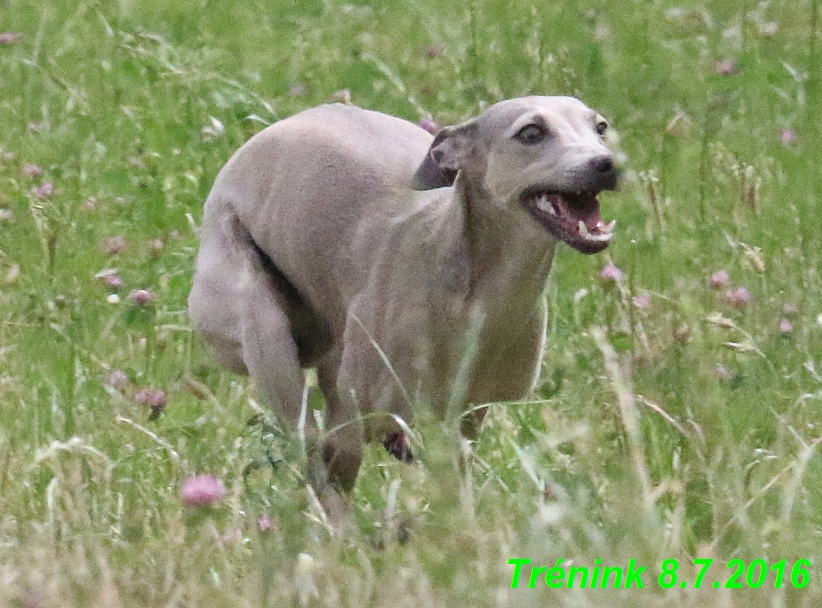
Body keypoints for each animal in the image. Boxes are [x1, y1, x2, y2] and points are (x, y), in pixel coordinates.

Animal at [190, 95, 620, 510]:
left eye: (600, 127)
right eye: (531, 132)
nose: (608, 164)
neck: (476, 296)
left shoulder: (464, 419)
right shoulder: (352, 420)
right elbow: (335, 473)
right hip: (260, 326)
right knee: (308, 443)